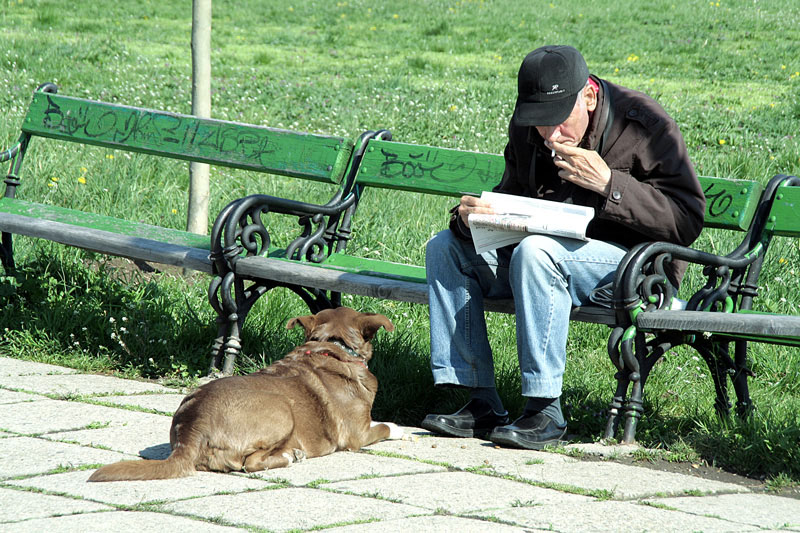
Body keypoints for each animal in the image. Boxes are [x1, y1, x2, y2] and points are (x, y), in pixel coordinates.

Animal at [88, 306, 404, 480]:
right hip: (282, 411)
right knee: (249, 464)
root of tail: (191, 431)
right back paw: (290, 456)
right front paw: (399, 429)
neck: (332, 346)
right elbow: (385, 426)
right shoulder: (358, 434)